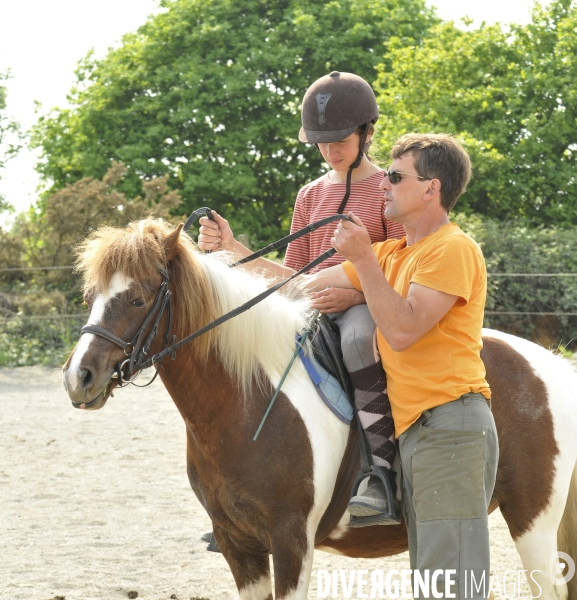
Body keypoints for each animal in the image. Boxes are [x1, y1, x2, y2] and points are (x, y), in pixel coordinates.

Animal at [62, 219, 576, 600]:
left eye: (138, 298)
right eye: (90, 297)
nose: (79, 377)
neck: (245, 406)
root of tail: (554, 367)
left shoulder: (291, 543)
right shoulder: (238, 546)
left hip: (532, 520)